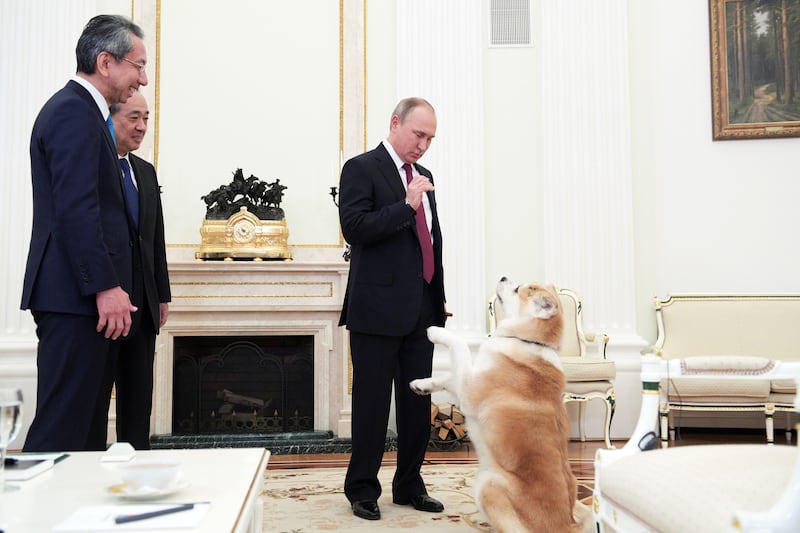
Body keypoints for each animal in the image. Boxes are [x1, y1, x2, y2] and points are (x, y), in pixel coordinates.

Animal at [412, 278, 592, 532]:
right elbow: (447, 377)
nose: (504, 277)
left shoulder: (469, 389)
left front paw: (437, 332)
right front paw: (421, 384)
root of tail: (567, 525)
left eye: (518, 290)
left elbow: (459, 346)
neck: (526, 340)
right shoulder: (468, 380)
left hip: (488, 483)